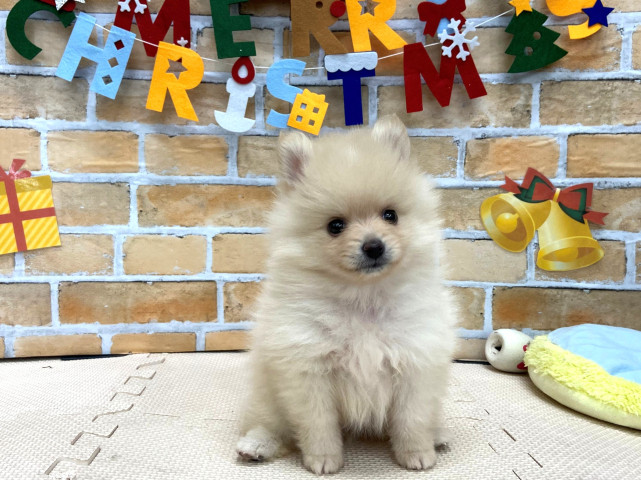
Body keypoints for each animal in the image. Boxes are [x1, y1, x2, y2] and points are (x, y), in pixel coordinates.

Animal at [236, 115, 457, 474]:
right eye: (335, 226)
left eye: (390, 215)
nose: (373, 246)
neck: (362, 298)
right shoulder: (307, 367)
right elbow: (318, 422)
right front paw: (323, 459)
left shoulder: (415, 361)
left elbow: (412, 418)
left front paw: (416, 453)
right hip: (268, 391)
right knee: (272, 423)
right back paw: (255, 445)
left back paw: (437, 436)